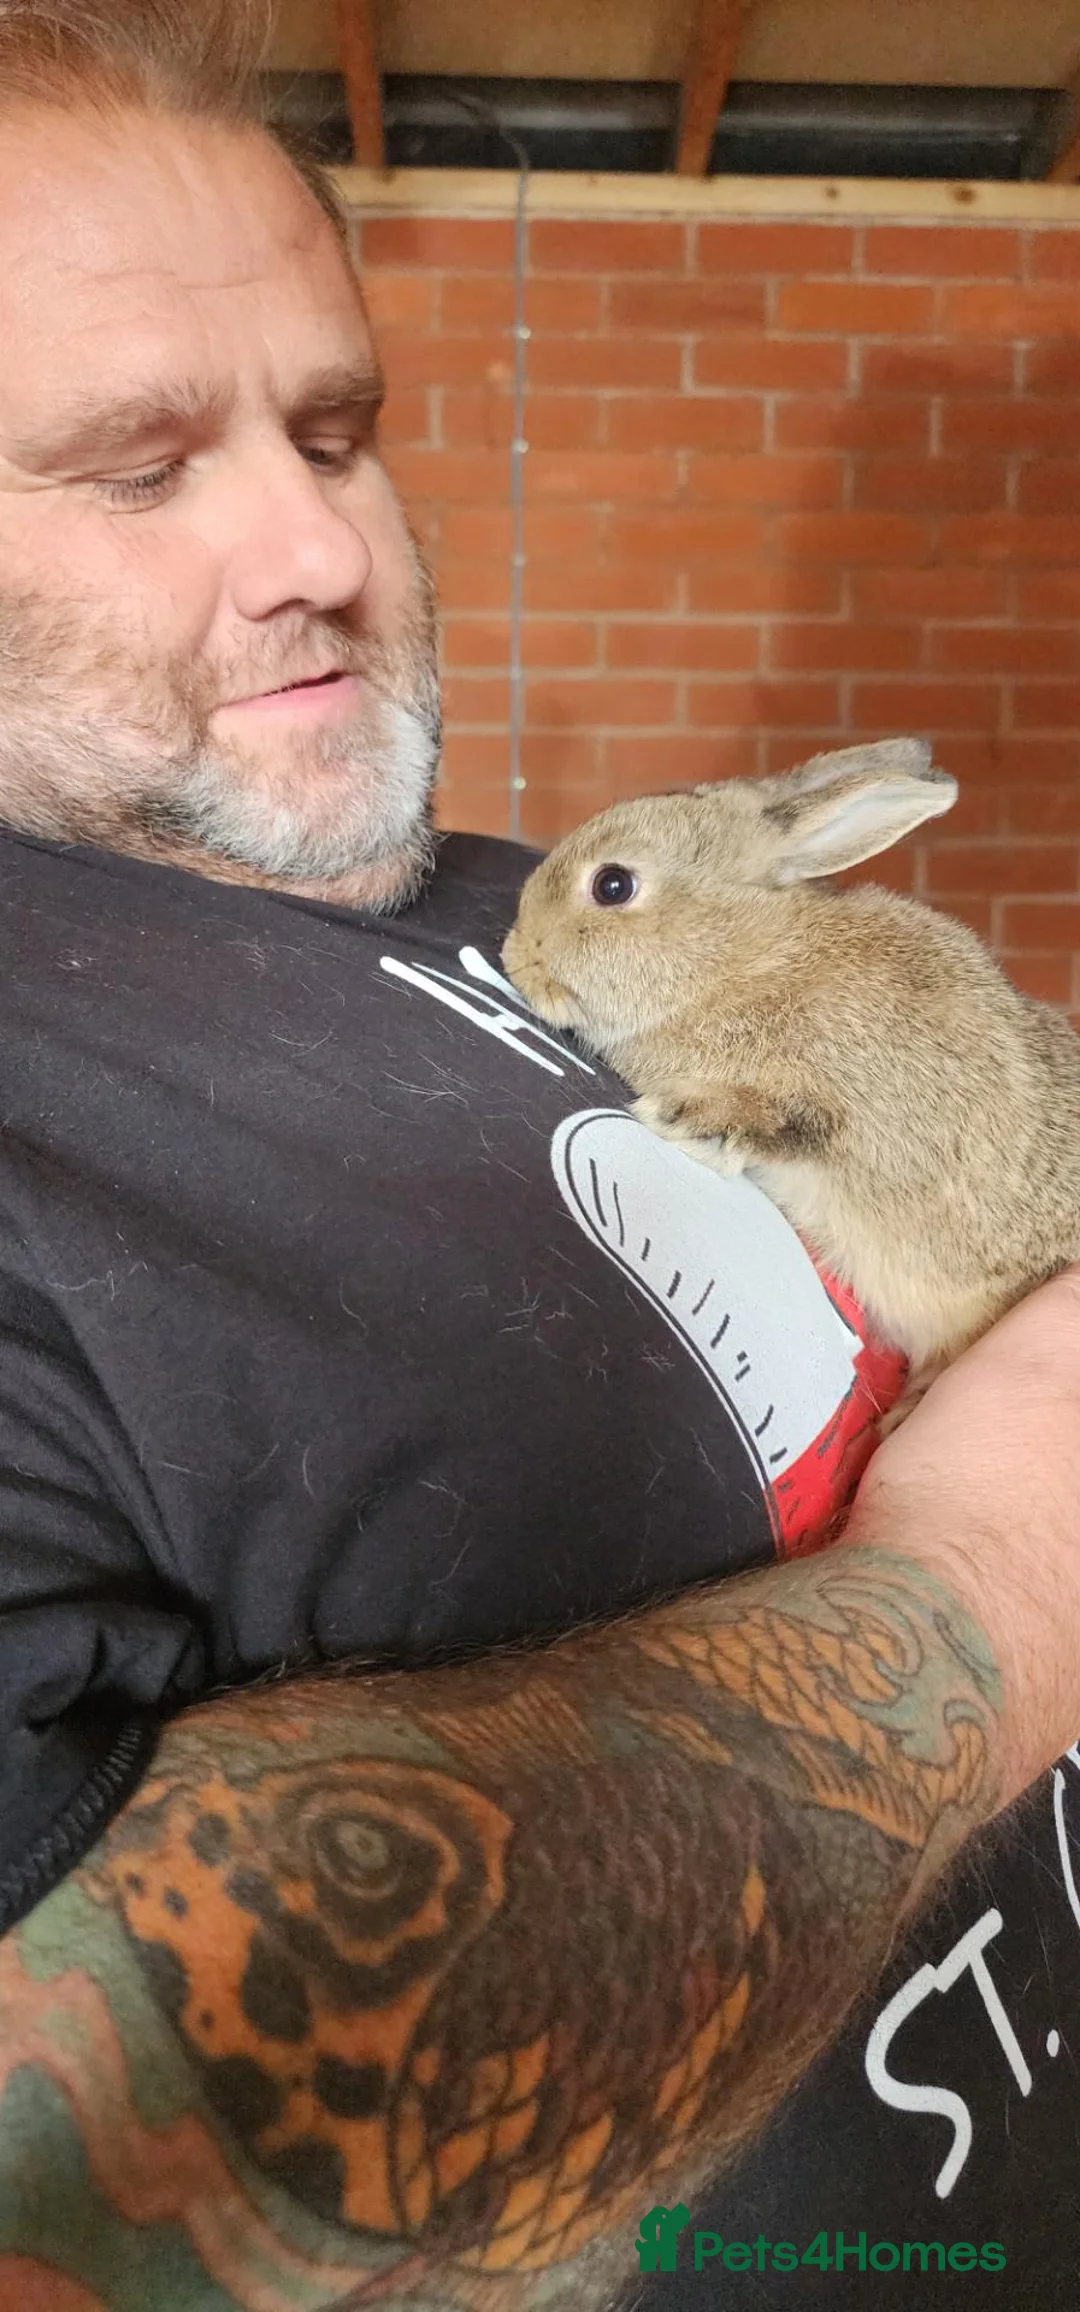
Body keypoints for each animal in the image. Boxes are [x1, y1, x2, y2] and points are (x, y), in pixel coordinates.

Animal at [501, 737, 1080, 1421]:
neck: (738, 960)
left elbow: (801, 1125)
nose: (514, 955)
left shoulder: (882, 1115)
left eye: (612, 885)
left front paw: (691, 1116)